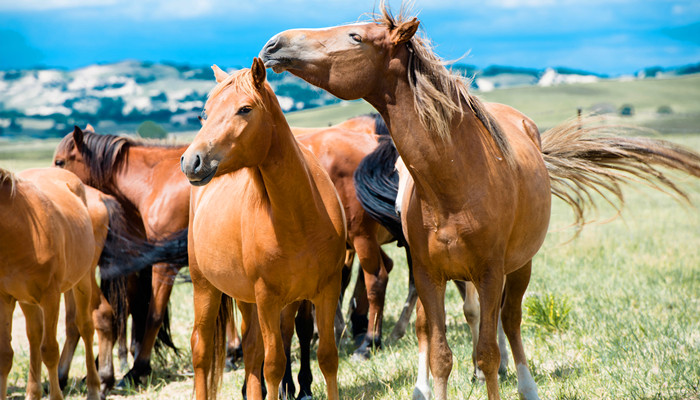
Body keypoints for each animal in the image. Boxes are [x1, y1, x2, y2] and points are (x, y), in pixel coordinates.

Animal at [0, 167, 101, 398]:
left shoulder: (51, 296)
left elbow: (50, 351)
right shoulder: (5, 298)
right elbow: (5, 355)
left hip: (83, 281)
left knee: (86, 327)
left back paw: (94, 388)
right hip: (27, 300)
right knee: (34, 336)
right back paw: (32, 393)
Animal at [179, 58, 346, 400]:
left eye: (245, 109)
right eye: (205, 112)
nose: (191, 161)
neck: (300, 217)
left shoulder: (327, 289)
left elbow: (327, 357)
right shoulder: (268, 298)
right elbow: (274, 366)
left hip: (246, 299)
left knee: (252, 350)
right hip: (205, 287)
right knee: (201, 349)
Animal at [260, 3, 700, 400]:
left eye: (355, 37)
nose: (273, 44)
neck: (455, 181)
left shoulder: (490, 273)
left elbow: (488, 351)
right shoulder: (430, 275)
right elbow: (440, 353)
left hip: (519, 267)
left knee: (511, 320)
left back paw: (526, 386)